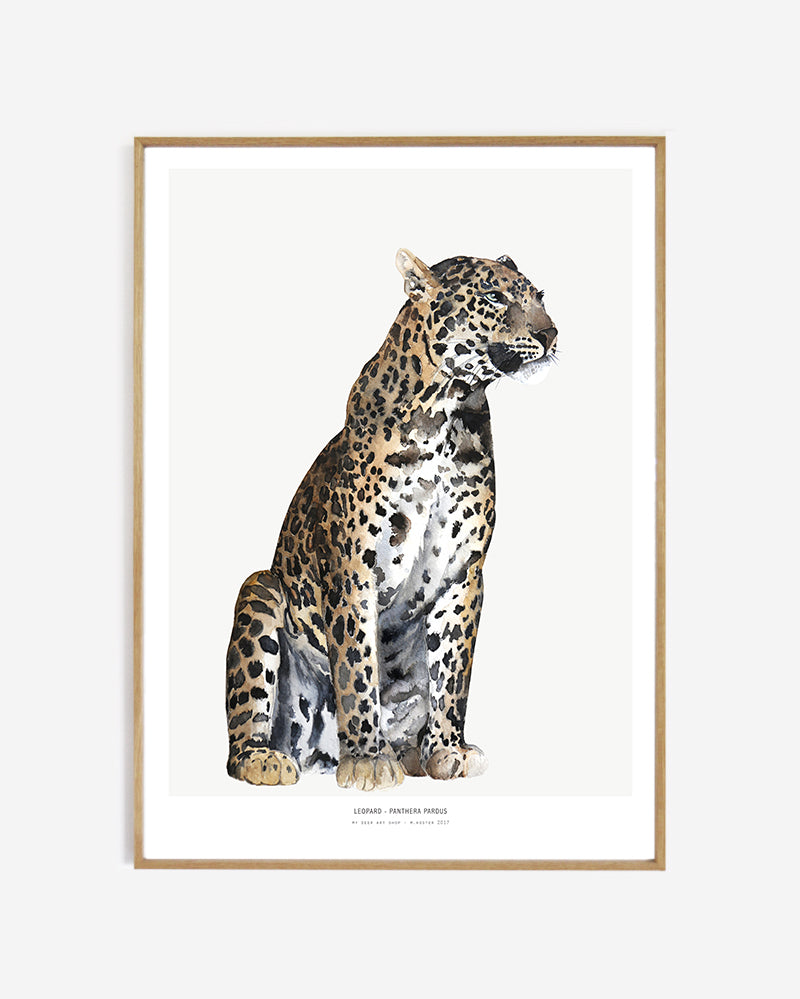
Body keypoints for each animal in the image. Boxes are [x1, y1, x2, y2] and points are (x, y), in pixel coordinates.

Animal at [225, 249, 558, 791]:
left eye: (540, 297)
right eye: (493, 296)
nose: (551, 333)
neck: (449, 412)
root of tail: (316, 753)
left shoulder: (462, 573)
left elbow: (453, 671)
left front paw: (447, 750)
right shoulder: (353, 571)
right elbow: (357, 669)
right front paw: (366, 760)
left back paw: (408, 753)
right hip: (261, 587)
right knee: (245, 732)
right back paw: (270, 759)